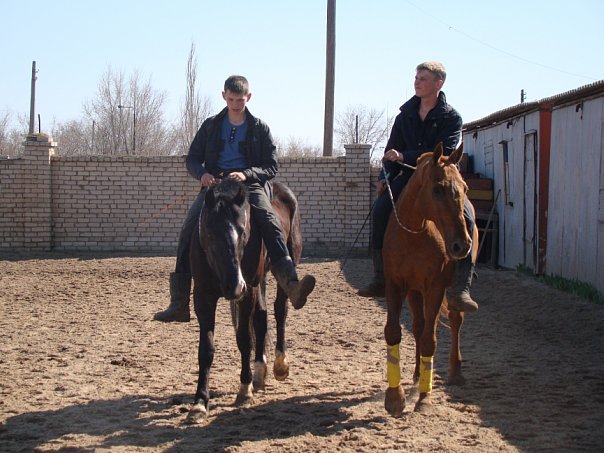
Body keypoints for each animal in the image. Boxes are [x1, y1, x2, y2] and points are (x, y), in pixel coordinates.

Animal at [186, 178, 302, 422]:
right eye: (209, 233)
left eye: (243, 231)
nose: (234, 285)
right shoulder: (203, 296)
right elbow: (206, 349)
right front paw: (199, 402)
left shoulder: (247, 293)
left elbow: (244, 339)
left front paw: (244, 391)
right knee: (261, 317)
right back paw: (260, 373)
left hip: (284, 266)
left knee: (280, 311)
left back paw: (279, 365)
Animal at [382, 143, 476, 414]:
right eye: (437, 189)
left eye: (465, 188)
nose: (461, 245)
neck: (416, 232)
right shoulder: (395, 285)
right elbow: (394, 332)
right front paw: (395, 397)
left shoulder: (435, 288)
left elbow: (429, 341)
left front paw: (424, 398)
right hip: (415, 292)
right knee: (418, 325)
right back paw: (415, 375)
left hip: (449, 293)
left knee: (455, 320)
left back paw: (455, 372)